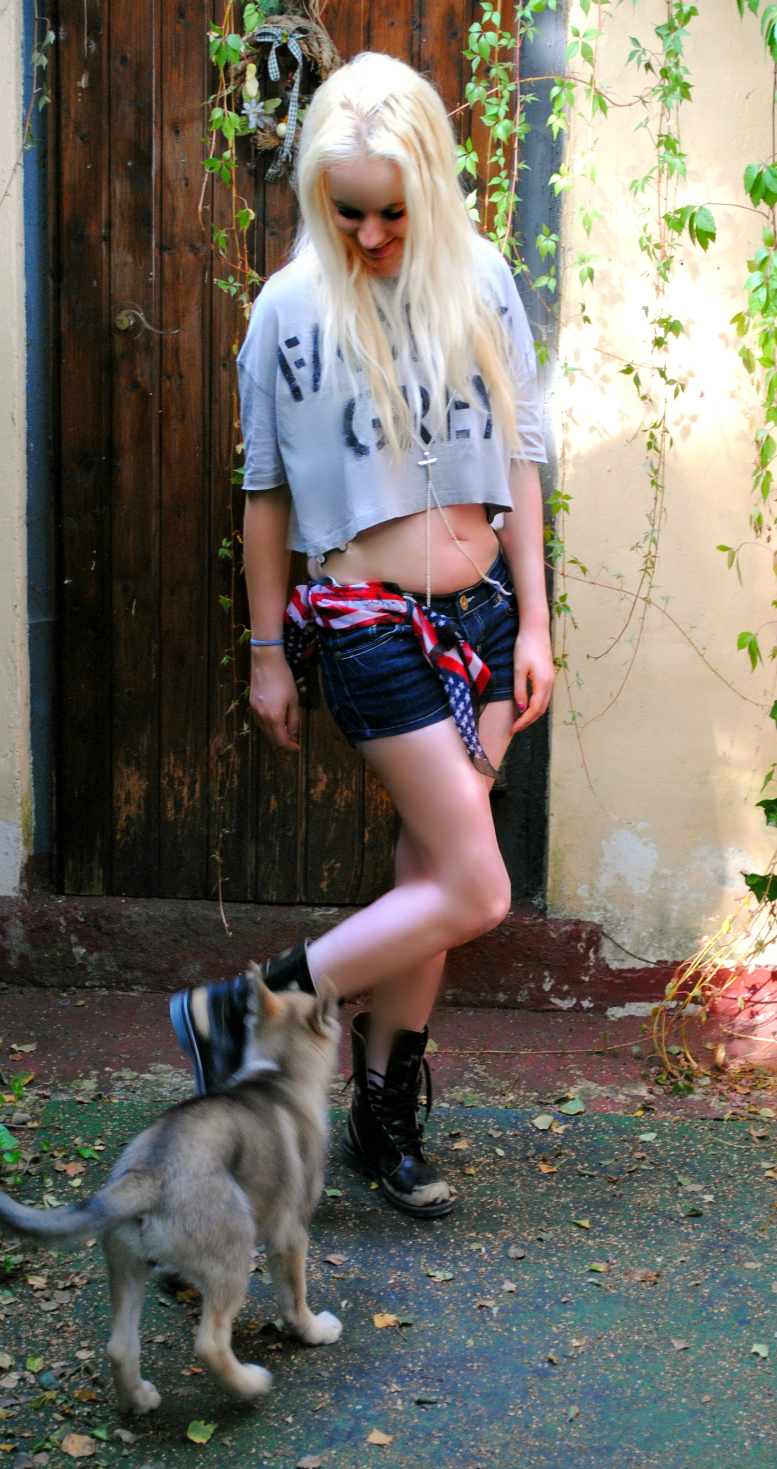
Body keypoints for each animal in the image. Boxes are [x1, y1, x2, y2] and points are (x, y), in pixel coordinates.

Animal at [0, 970, 342, 1414]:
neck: (279, 1071)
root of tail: (148, 1176)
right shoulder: (291, 1234)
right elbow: (294, 1297)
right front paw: (314, 1330)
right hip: (233, 1256)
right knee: (210, 1342)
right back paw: (250, 1385)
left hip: (126, 1265)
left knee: (119, 1346)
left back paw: (138, 1400)